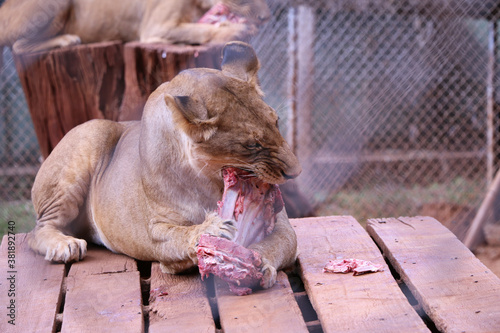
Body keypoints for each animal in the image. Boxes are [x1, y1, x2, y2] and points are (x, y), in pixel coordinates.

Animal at [28, 40, 300, 286]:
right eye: (252, 145)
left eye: (276, 122)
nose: (296, 172)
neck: (209, 178)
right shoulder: (155, 231)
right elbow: (179, 235)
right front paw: (212, 230)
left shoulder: (282, 224)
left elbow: (278, 242)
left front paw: (256, 262)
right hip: (86, 141)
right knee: (37, 230)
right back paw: (66, 245)